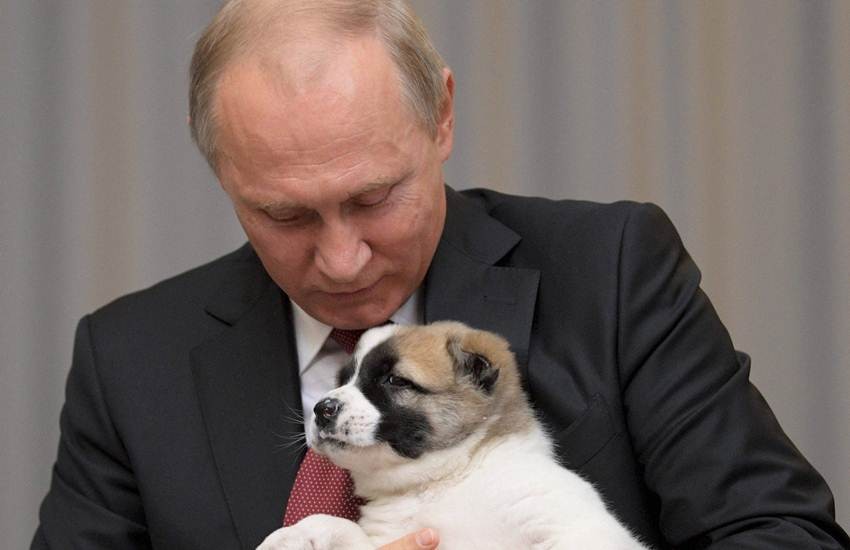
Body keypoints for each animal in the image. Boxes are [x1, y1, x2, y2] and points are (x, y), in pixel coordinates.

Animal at [258, 322, 649, 549]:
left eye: (395, 380)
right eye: (343, 379)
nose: (321, 409)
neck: (438, 484)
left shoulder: (571, 524)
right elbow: (332, 523)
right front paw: (291, 537)